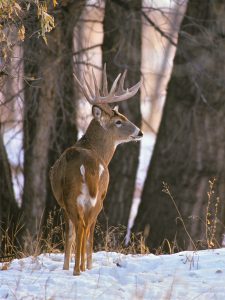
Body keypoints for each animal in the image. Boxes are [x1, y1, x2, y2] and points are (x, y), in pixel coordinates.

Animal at [50, 64, 143, 276]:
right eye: (119, 121)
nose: (140, 132)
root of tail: (89, 165)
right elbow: (80, 234)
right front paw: (83, 266)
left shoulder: (64, 204)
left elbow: (70, 235)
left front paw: (68, 267)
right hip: (95, 197)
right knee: (85, 228)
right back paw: (80, 269)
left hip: (75, 197)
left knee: (80, 227)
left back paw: (77, 269)